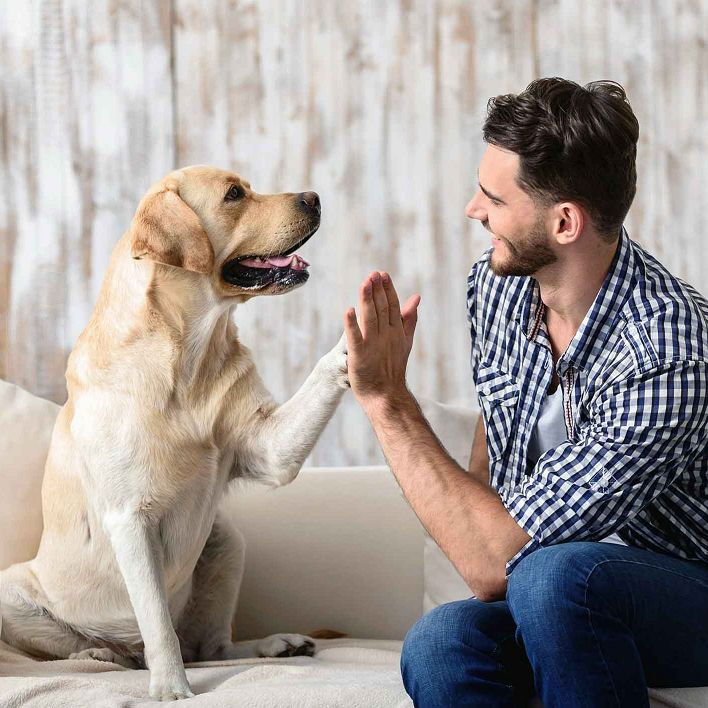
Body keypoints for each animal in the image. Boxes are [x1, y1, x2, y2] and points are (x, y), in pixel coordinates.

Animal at [0, 165, 352, 696]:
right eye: (234, 195)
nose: (313, 197)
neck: (187, 356)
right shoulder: (130, 519)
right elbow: (157, 623)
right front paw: (171, 687)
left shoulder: (270, 449)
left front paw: (362, 334)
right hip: (12, 593)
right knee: (112, 647)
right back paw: (103, 652)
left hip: (226, 540)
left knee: (212, 647)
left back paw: (276, 644)